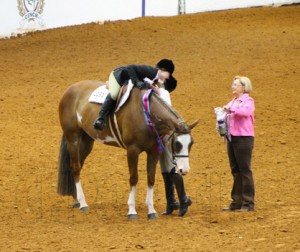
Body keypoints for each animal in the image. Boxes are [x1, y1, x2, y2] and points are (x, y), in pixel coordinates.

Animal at [58, 79, 199, 220]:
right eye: (176, 143)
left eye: (191, 144)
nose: (185, 170)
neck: (146, 114)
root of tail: (71, 88)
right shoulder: (132, 150)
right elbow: (133, 178)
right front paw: (132, 211)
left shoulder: (153, 152)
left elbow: (151, 178)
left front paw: (151, 211)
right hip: (73, 138)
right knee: (76, 167)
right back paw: (83, 203)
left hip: (86, 141)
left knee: (77, 166)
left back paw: (76, 200)